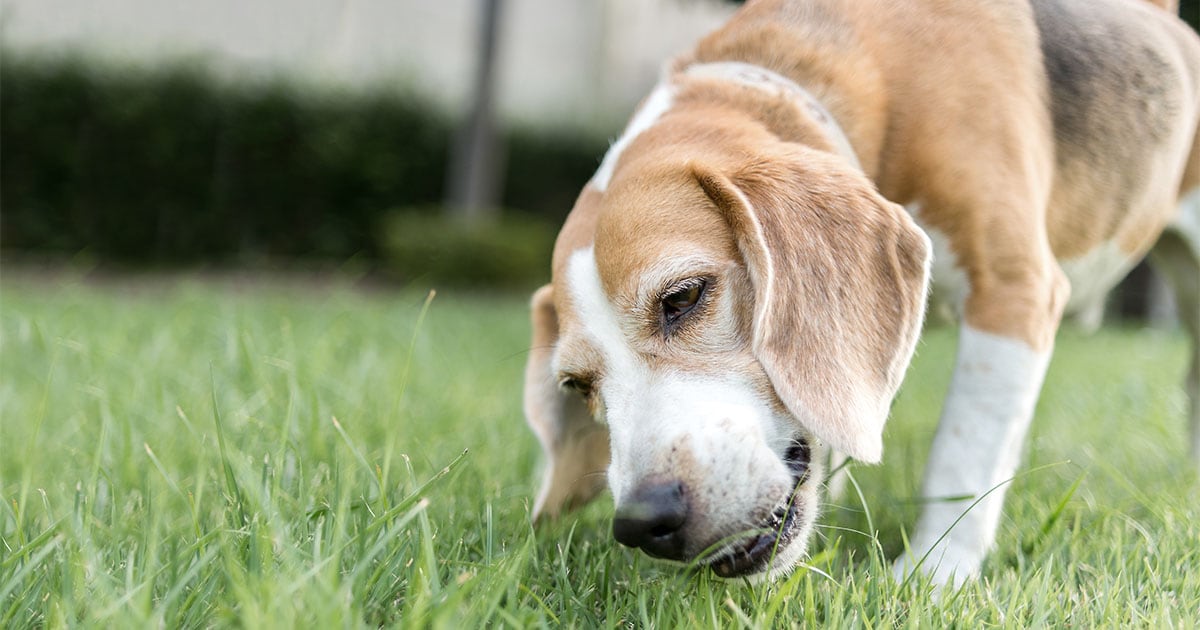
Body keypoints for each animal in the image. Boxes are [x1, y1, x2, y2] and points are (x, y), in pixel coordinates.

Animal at [520, 0, 1195, 585]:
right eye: (577, 386)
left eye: (683, 297)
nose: (643, 520)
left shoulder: (1013, 289)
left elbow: (963, 452)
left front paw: (933, 575)